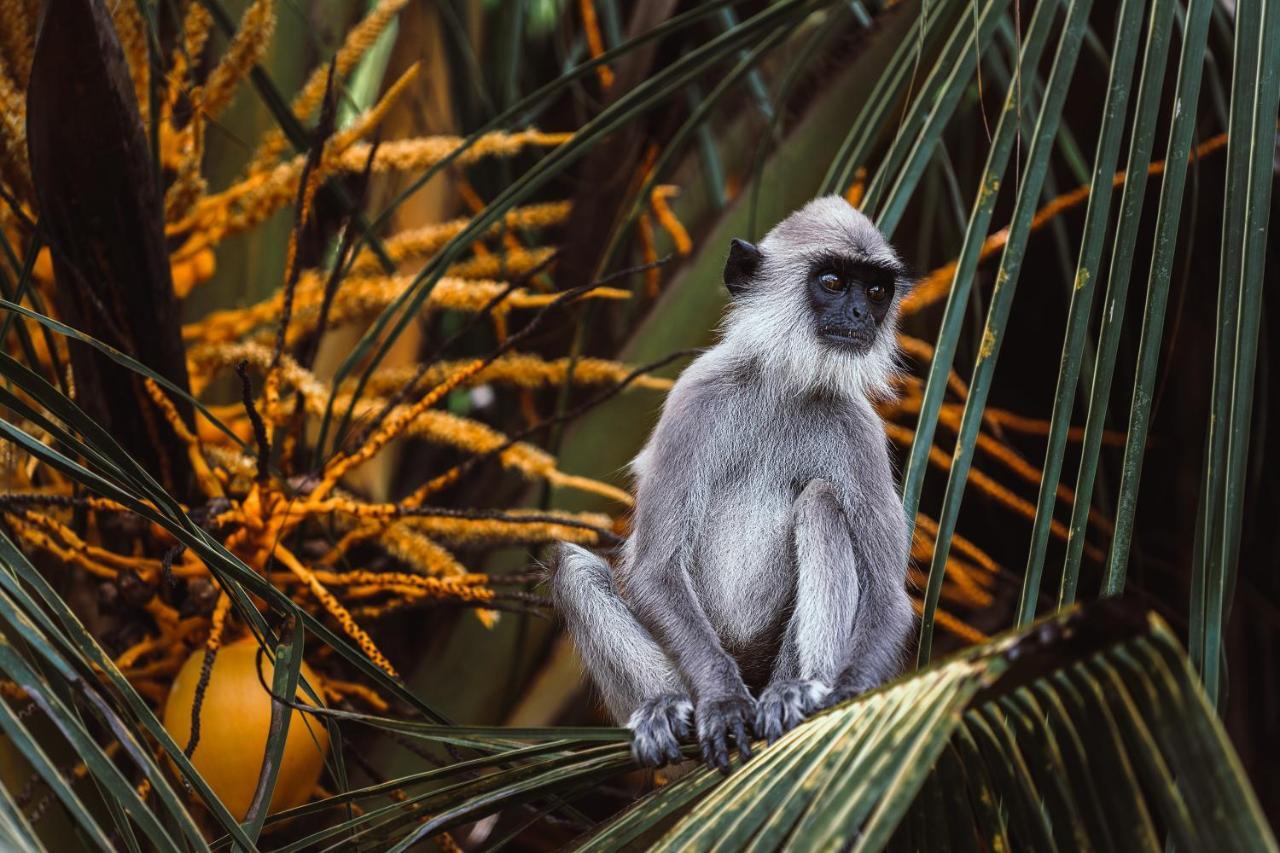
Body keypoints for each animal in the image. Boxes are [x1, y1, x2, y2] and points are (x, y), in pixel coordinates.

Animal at [550, 194, 911, 768]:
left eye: (876, 291)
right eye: (833, 282)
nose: (860, 315)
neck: (786, 384)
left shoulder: (859, 431)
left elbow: (886, 596)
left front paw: (853, 695)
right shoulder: (695, 397)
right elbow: (655, 571)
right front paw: (721, 702)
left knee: (822, 501)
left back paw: (797, 691)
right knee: (573, 568)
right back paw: (663, 706)